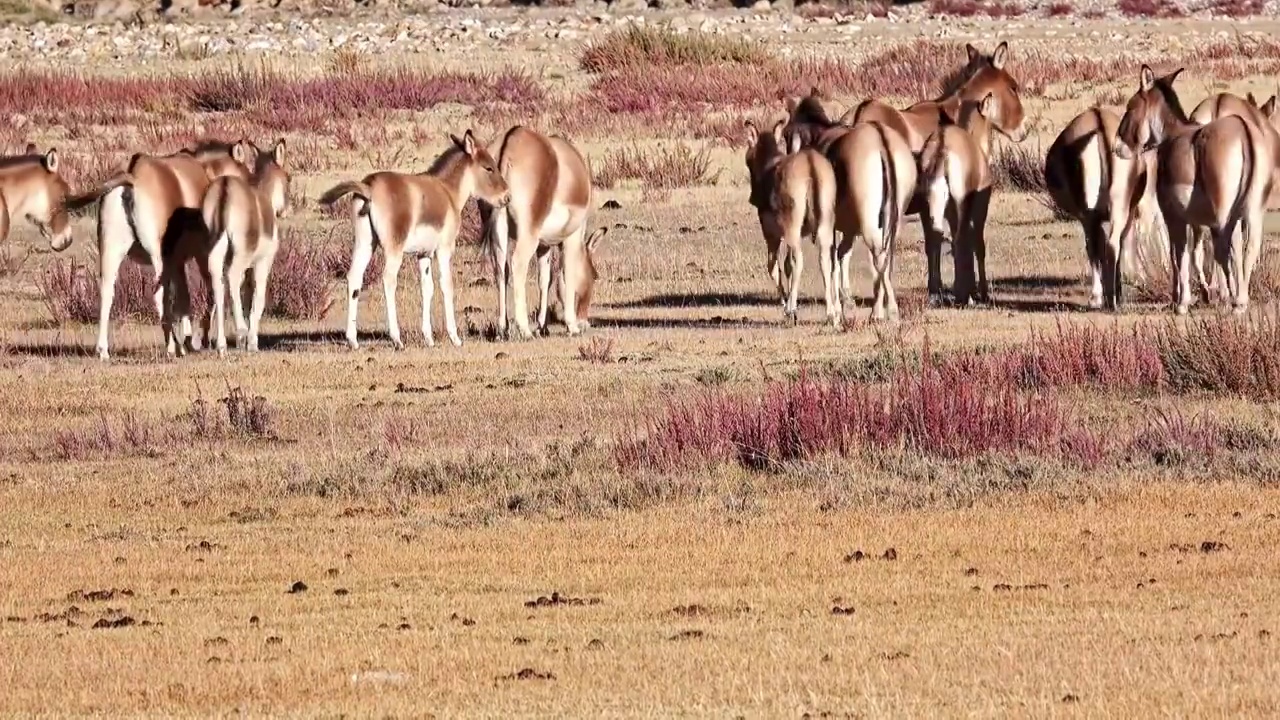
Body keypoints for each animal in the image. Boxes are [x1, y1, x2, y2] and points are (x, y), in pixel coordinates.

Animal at [320, 132, 509, 353]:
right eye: (489, 168)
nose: (507, 197)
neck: (448, 192)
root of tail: (368, 187)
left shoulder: (424, 254)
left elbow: (427, 288)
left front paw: (428, 338)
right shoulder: (444, 249)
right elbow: (446, 285)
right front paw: (454, 338)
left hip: (365, 243)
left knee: (354, 277)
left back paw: (353, 340)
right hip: (394, 248)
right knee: (388, 280)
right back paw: (397, 339)